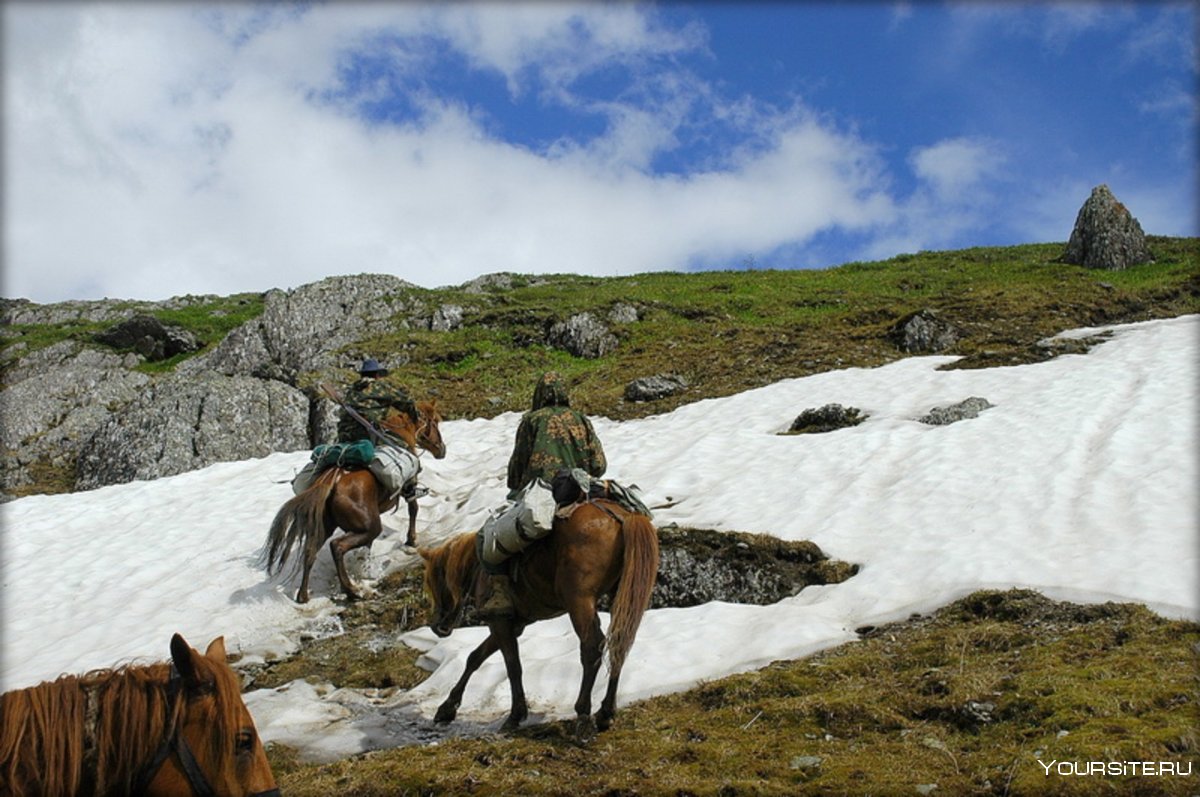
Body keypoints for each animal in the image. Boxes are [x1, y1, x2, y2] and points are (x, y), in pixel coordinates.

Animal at [265, 398, 448, 604]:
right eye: (435, 421)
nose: (441, 449)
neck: (399, 437)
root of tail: (333, 478)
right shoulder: (410, 486)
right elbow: (413, 509)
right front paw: (411, 540)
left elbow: (366, 548)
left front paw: (365, 569)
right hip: (369, 527)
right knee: (337, 546)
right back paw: (351, 590)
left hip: (328, 526)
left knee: (310, 551)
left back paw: (304, 595)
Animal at [415, 499, 657, 739]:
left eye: (434, 581)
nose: (437, 627)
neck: (478, 567)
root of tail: (621, 516)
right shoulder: (511, 624)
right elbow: (475, 657)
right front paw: (447, 708)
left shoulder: (499, 621)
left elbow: (513, 666)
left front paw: (515, 716)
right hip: (620, 597)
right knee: (619, 643)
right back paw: (605, 713)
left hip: (579, 601)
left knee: (591, 648)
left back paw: (583, 716)